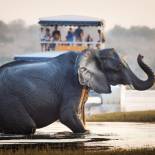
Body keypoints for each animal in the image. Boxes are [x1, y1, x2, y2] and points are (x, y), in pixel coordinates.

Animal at [0, 48, 154, 134]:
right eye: (118, 68)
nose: (141, 55)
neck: (92, 52)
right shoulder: (71, 83)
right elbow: (67, 115)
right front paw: (87, 132)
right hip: (9, 101)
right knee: (29, 127)